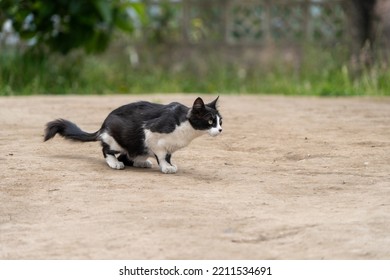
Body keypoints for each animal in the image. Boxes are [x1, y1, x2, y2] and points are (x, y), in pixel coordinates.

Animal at [44, 97, 222, 174]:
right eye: (210, 121)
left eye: (221, 121)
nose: (220, 130)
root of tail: (102, 126)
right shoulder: (151, 133)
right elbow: (162, 155)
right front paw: (166, 167)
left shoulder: (168, 146)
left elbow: (168, 155)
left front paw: (169, 164)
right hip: (116, 139)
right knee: (107, 150)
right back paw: (115, 163)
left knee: (127, 156)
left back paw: (141, 162)